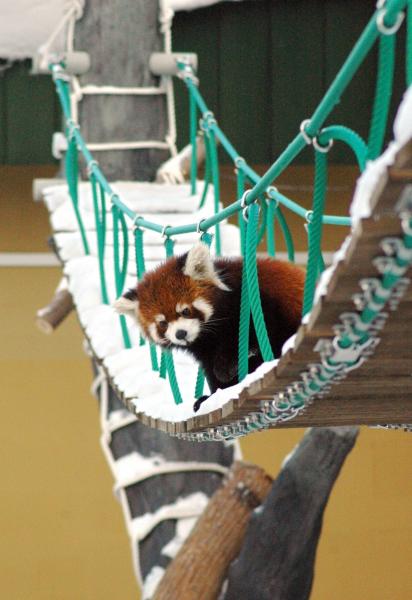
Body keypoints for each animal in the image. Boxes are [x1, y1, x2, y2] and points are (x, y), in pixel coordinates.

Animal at [114, 244, 304, 412]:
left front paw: (225, 368)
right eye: (163, 323)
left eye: (185, 310)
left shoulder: (253, 303)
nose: (180, 333)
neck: (206, 335)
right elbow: (209, 368)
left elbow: (251, 333)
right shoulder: (203, 348)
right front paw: (213, 395)